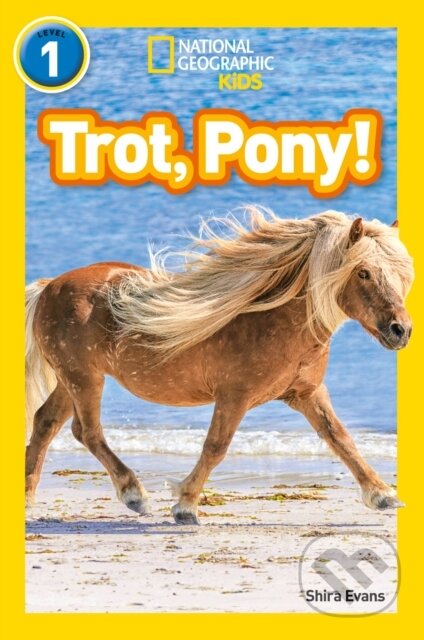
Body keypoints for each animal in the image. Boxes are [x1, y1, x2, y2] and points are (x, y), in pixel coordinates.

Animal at [25, 208, 414, 524]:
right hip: (84, 378)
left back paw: (28, 499)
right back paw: (135, 495)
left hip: (72, 380)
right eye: (363, 273)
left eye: (401, 274)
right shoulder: (234, 397)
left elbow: (341, 439)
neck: (273, 318)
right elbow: (215, 447)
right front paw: (185, 506)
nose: (401, 330)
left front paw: (382, 495)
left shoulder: (307, 393)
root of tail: (50, 287)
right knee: (87, 432)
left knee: (46, 423)